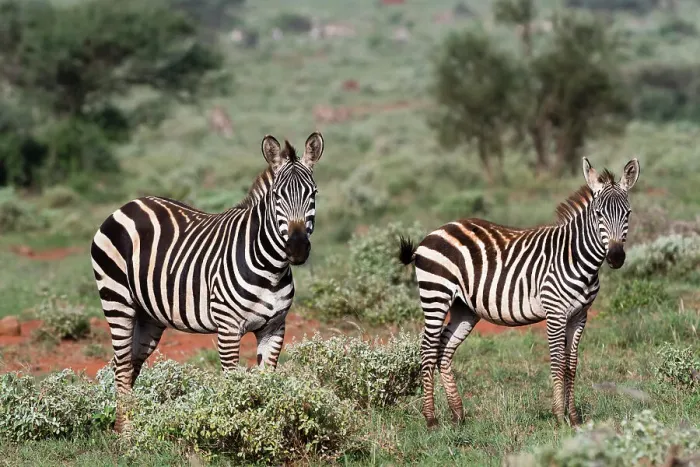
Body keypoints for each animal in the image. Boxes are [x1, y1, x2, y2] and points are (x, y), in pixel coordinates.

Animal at [91, 132, 324, 432]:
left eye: (313, 194)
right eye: (276, 196)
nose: (297, 249)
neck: (271, 268)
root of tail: (127, 205)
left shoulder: (275, 328)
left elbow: (266, 383)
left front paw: (266, 432)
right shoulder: (228, 329)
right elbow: (232, 386)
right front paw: (234, 435)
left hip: (148, 316)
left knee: (129, 364)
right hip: (117, 300)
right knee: (120, 366)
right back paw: (126, 434)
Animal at [398, 157, 640, 428]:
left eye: (628, 213)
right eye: (598, 214)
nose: (616, 257)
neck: (577, 257)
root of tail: (435, 232)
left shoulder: (580, 316)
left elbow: (571, 364)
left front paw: (575, 417)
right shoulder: (555, 313)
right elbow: (558, 363)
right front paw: (559, 416)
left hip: (464, 308)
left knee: (444, 349)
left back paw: (458, 414)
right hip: (436, 295)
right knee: (428, 349)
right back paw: (431, 419)